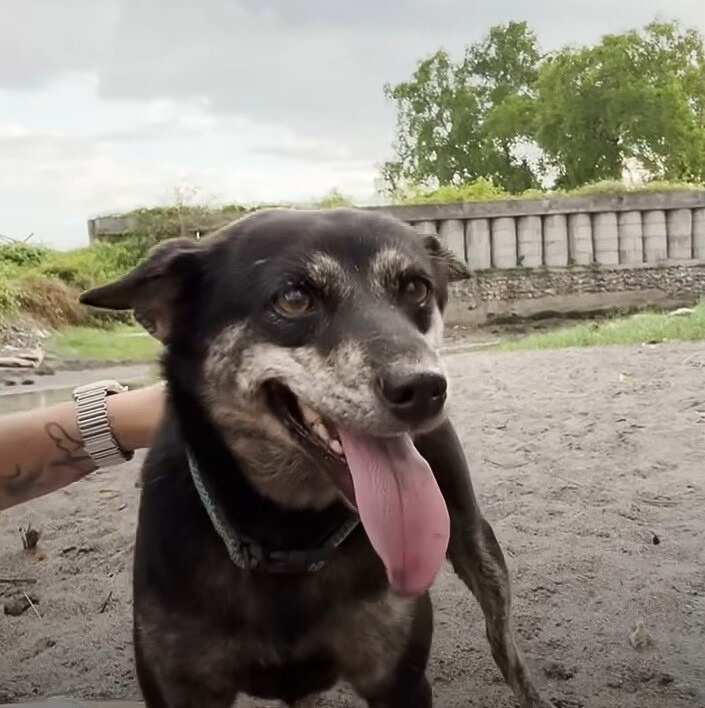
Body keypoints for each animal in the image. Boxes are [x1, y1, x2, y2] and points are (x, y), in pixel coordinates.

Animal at [80, 207, 552, 704]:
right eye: (294, 298)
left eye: (416, 288)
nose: (425, 389)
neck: (288, 536)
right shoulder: (180, 688)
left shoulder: (399, 680)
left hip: (476, 543)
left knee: (503, 642)